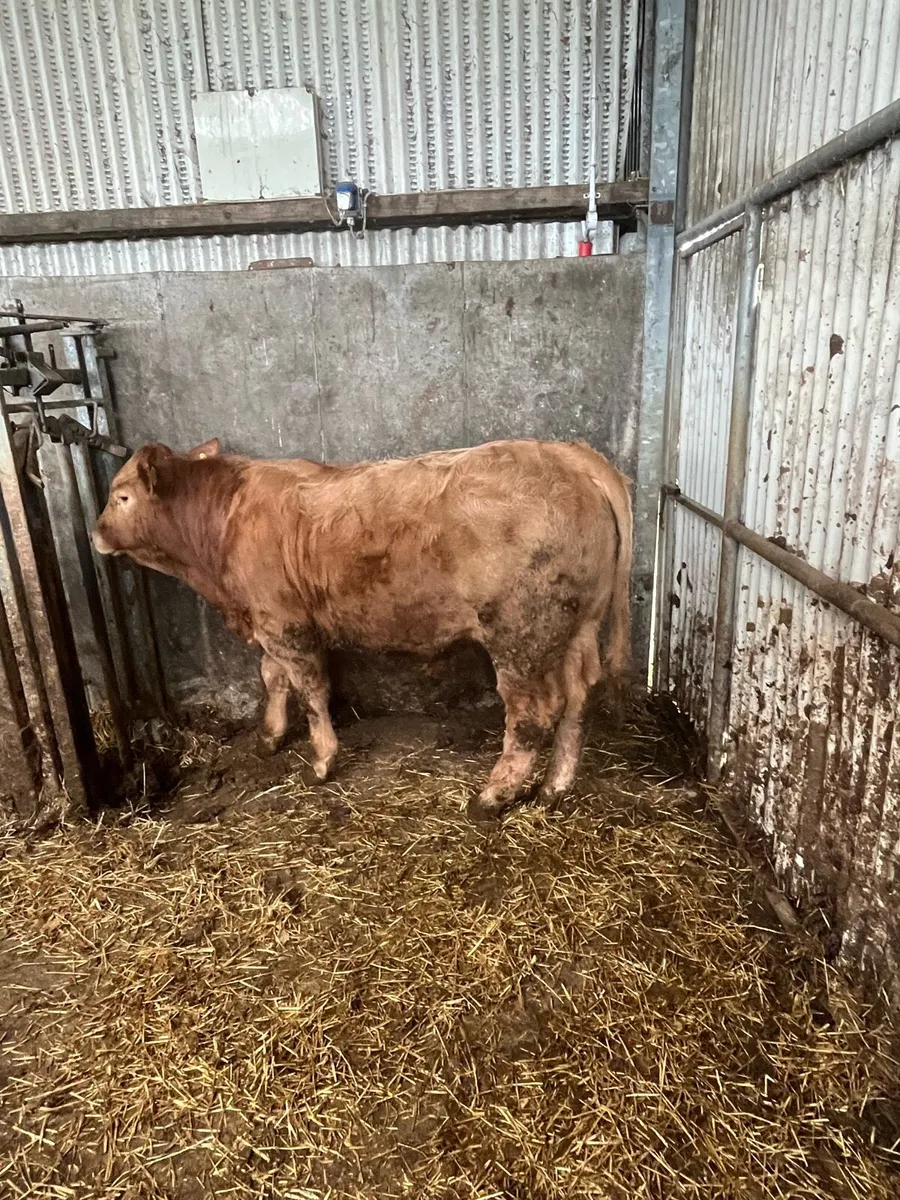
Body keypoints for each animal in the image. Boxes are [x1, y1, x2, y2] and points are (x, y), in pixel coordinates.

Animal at [92, 437, 633, 816]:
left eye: (121, 496)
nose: (95, 534)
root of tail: (567, 454)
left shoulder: (284, 622)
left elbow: (310, 688)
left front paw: (323, 760)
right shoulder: (271, 620)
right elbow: (273, 676)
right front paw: (270, 736)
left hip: (521, 633)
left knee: (532, 711)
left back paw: (494, 795)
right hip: (577, 626)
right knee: (579, 696)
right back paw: (554, 788)